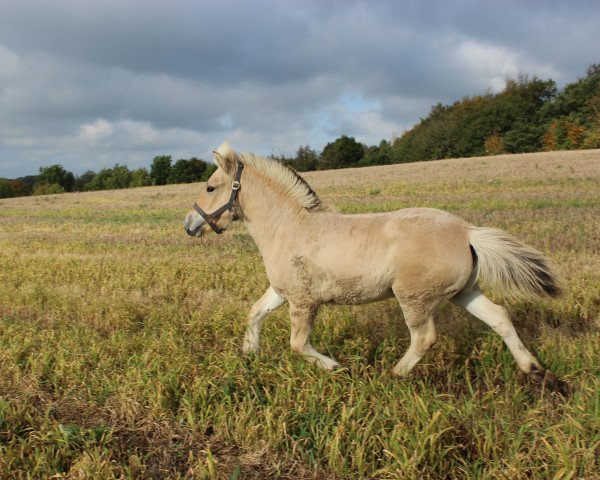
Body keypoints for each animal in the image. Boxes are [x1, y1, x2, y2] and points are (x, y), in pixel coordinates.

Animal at [183, 140, 568, 394]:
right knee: (500, 317)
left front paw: (335, 367)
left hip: (414, 298)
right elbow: (255, 312)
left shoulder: (304, 302)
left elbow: (298, 344)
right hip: (464, 292)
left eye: (211, 187)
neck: (288, 226)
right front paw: (249, 355)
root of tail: (467, 232)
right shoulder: (282, 291)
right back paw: (536, 372)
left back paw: (394, 375)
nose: (189, 225)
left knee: (424, 337)